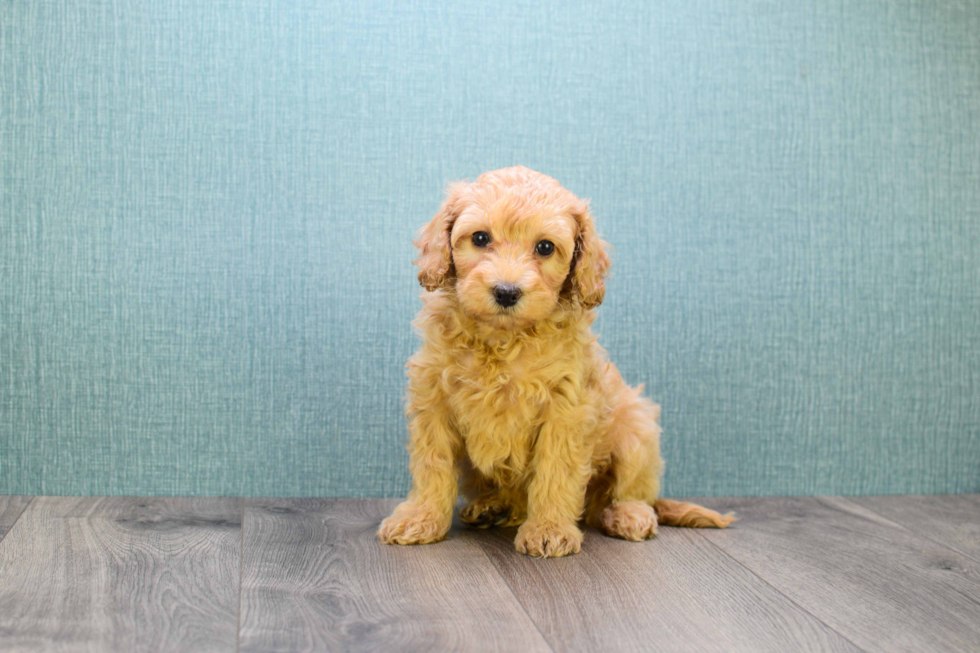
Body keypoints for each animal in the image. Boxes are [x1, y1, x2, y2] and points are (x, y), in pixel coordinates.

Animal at [378, 166, 732, 556]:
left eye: (545, 247)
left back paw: (628, 514)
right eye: (480, 238)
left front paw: (548, 529)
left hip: (636, 427)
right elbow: (432, 462)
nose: (506, 292)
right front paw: (421, 517)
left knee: (631, 491)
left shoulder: (565, 406)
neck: (503, 339)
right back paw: (494, 507)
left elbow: (556, 469)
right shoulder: (434, 398)